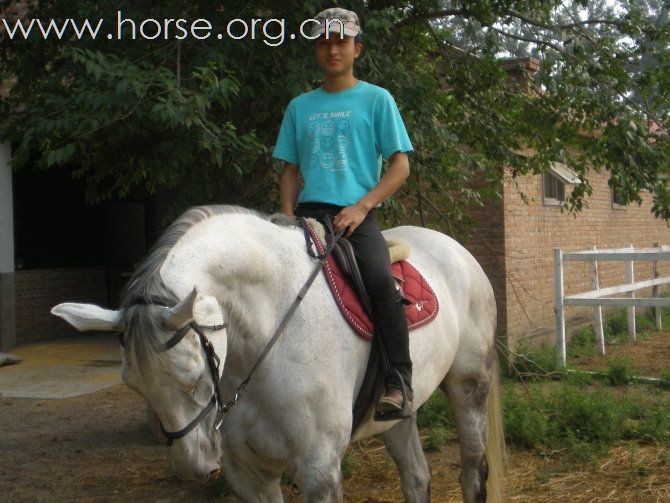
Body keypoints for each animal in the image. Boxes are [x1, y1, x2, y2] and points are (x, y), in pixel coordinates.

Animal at [52, 206, 504, 503]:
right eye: (134, 386)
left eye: (194, 377)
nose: (195, 466)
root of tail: (457, 251)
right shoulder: (249, 476)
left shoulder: (319, 471)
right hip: (395, 414)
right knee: (416, 478)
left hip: (469, 386)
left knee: (472, 472)